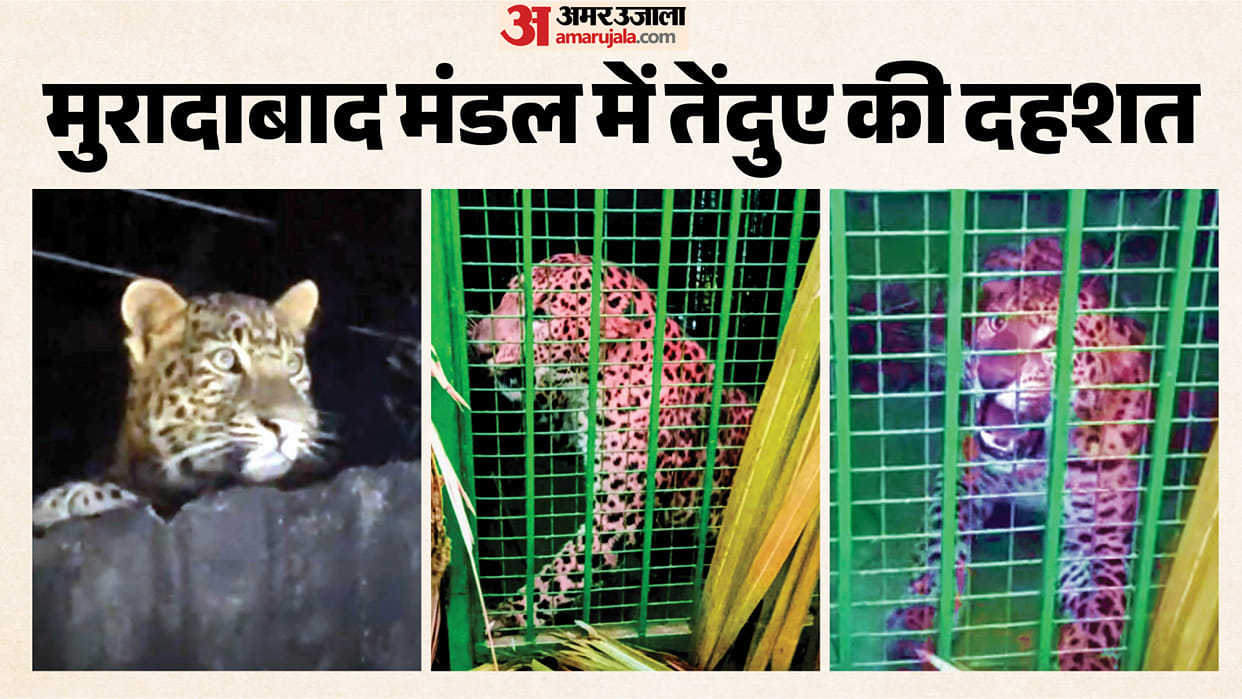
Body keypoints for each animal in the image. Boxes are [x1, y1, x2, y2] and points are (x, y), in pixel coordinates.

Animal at [468, 252, 755, 631]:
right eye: (505, 294)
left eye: (542, 314)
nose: (480, 349)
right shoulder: (567, 421)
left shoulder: (615, 515)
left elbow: (562, 574)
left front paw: (510, 615)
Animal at [885, 237, 1151, 671]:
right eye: (997, 323)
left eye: (1054, 342)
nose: (990, 378)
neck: (1036, 460)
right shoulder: (963, 474)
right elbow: (940, 543)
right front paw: (920, 614)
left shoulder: (1100, 536)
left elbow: (1102, 605)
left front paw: (1085, 661)